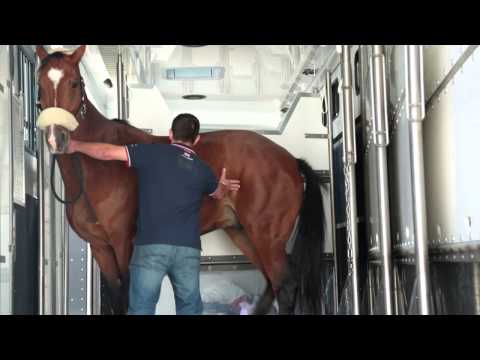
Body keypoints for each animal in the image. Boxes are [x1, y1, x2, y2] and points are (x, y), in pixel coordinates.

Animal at [34, 45, 326, 316]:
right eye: (40, 84)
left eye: (74, 82)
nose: (56, 138)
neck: (98, 169)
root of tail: (290, 160)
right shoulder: (100, 247)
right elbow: (117, 297)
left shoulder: (123, 242)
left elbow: (129, 297)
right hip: (242, 232)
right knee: (270, 283)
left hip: (267, 238)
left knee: (284, 285)